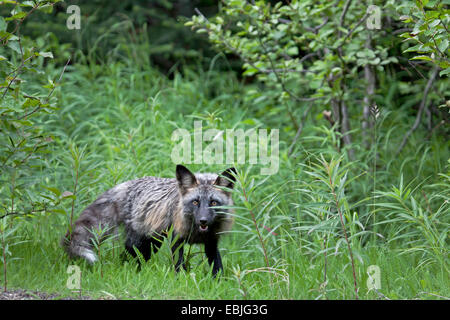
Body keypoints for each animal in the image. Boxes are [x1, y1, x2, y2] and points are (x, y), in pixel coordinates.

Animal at [61, 164, 237, 276]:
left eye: (213, 202)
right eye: (195, 202)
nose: (203, 221)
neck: (196, 233)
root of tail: (126, 185)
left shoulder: (212, 243)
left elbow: (217, 267)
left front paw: (218, 283)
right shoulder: (176, 240)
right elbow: (179, 265)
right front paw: (181, 280)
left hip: (152, 243)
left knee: (129, 257)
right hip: (144, 243)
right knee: (127, 255)